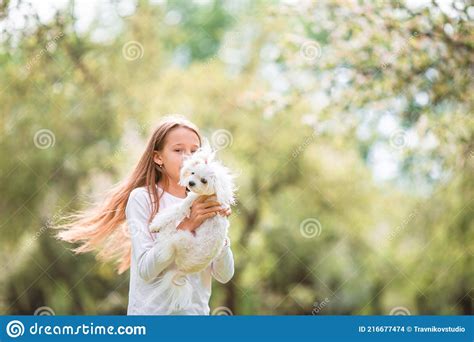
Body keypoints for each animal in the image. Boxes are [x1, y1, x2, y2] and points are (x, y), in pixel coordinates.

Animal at [149, 140, 236, 312]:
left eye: (204, 181)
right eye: (193, 173)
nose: (191, 183)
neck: (210, 195)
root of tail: (183, 268)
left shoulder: (188, 203)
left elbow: (174, 211)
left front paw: (156, 224)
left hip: (180, 237)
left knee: (167, 236)